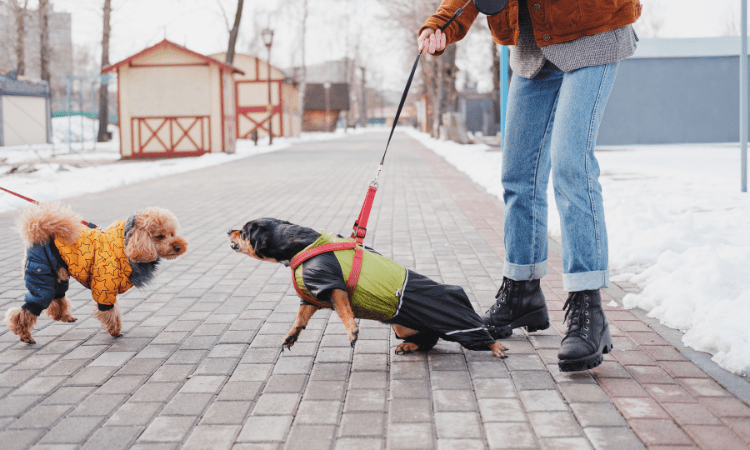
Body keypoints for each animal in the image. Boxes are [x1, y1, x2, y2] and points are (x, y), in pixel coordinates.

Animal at [229, 218, 508, 358]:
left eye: (243, 232)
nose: (228, 230)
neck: (300, 244)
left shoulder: (332, 285)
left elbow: (344, 311)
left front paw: (352, 331)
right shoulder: (313, 295)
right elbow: (300, 318)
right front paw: (291, 336)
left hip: (457, 322)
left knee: (480, 335)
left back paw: (496, 348)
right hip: (403, 326)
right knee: (429, 340)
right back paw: (408, 347)